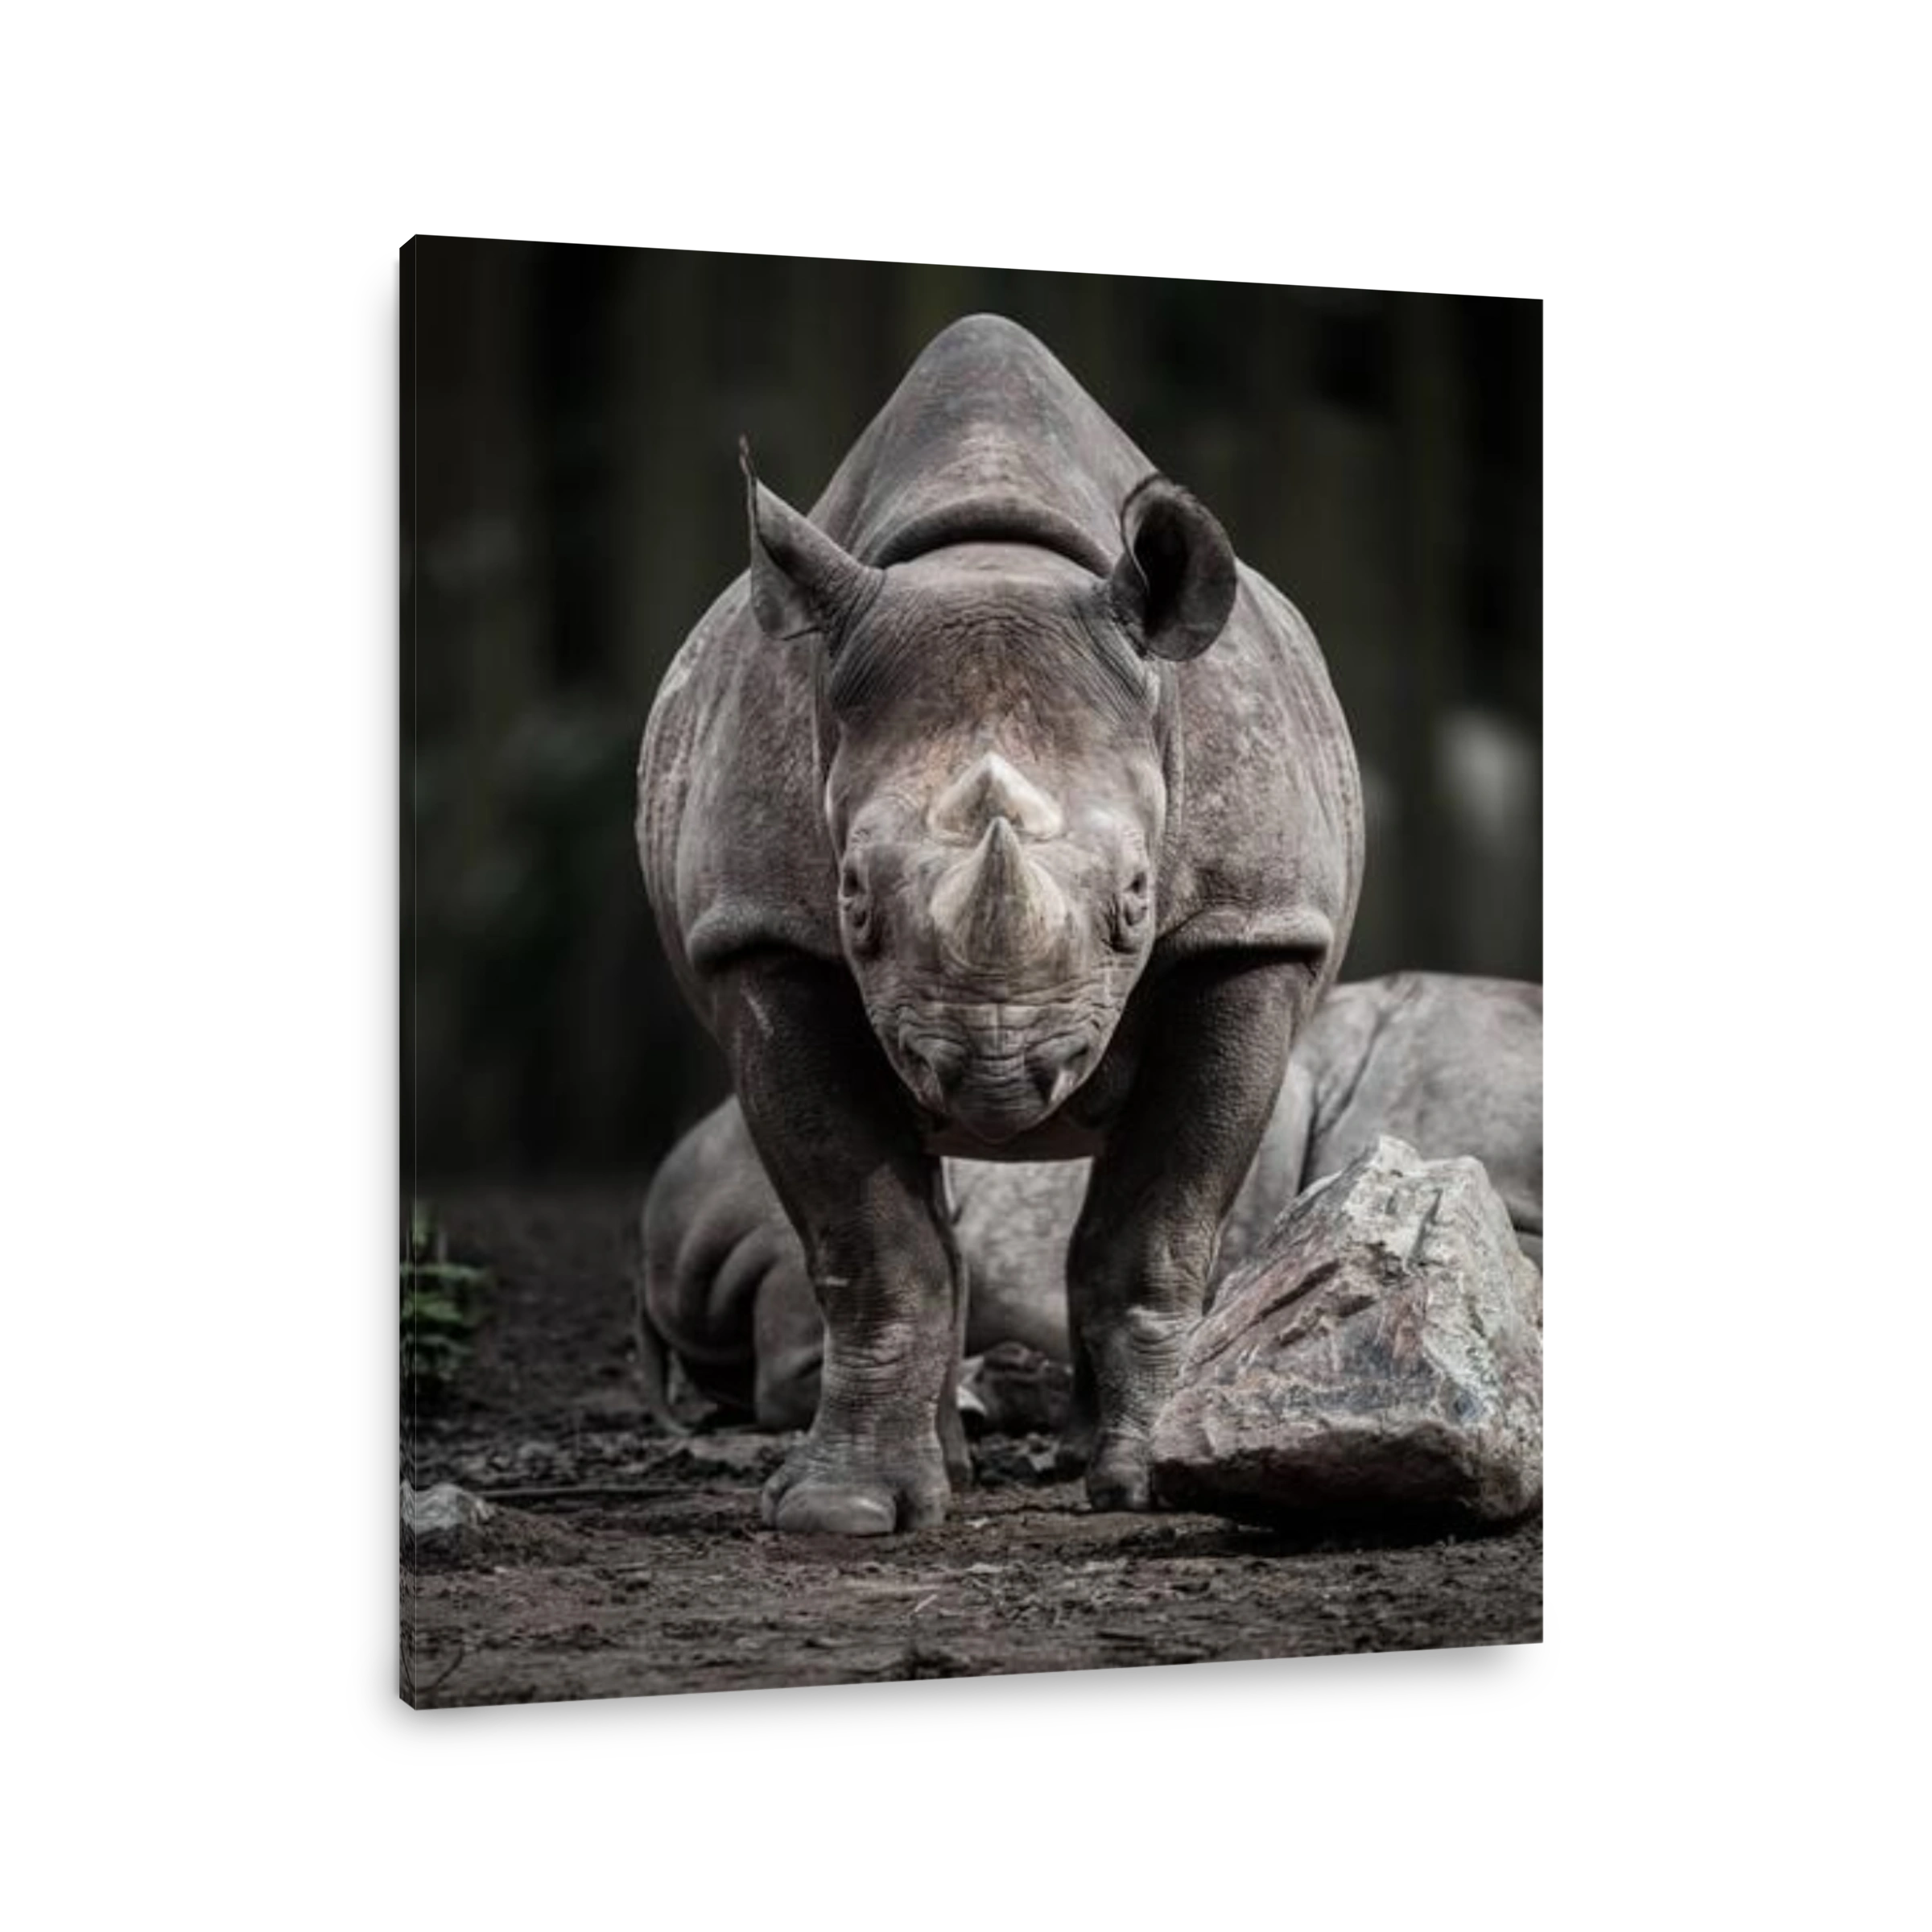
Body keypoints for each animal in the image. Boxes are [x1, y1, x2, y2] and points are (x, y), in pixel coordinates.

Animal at [637, 314, 1364, 1533]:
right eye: (854, 899)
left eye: (1137, 898)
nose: (996, 1073)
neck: (990, 563)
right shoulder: (764, 936)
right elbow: (870, 1239)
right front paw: (842, 1513)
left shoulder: (1252, 927)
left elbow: (1157, 1230)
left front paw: (1154, 1479)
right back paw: (954, 1467)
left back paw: (1070, 1457)